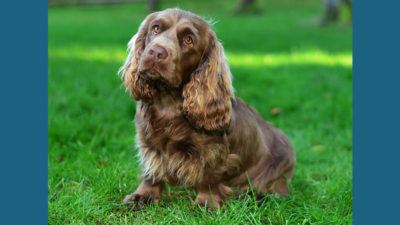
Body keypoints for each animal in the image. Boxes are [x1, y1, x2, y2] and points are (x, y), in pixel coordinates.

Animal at [119, 8, 294, 209]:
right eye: (156, 28)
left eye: (189, 39)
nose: (155, 52)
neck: (169, 104)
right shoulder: (147, 142)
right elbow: (151, 171)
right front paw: (143, 196)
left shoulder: (213, 150)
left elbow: (208, 176)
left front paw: (206, 203)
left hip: (281, 165)